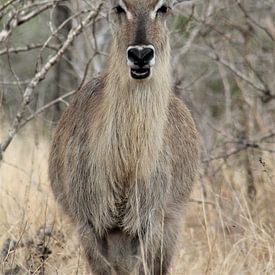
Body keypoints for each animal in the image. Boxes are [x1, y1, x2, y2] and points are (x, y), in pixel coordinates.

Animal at [49, 1, 199, 274]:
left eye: (163, 7)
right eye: (119, 7)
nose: (140, 54)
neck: (125, 167)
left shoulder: (150, 223)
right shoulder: (88, 223)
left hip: (170, 228)